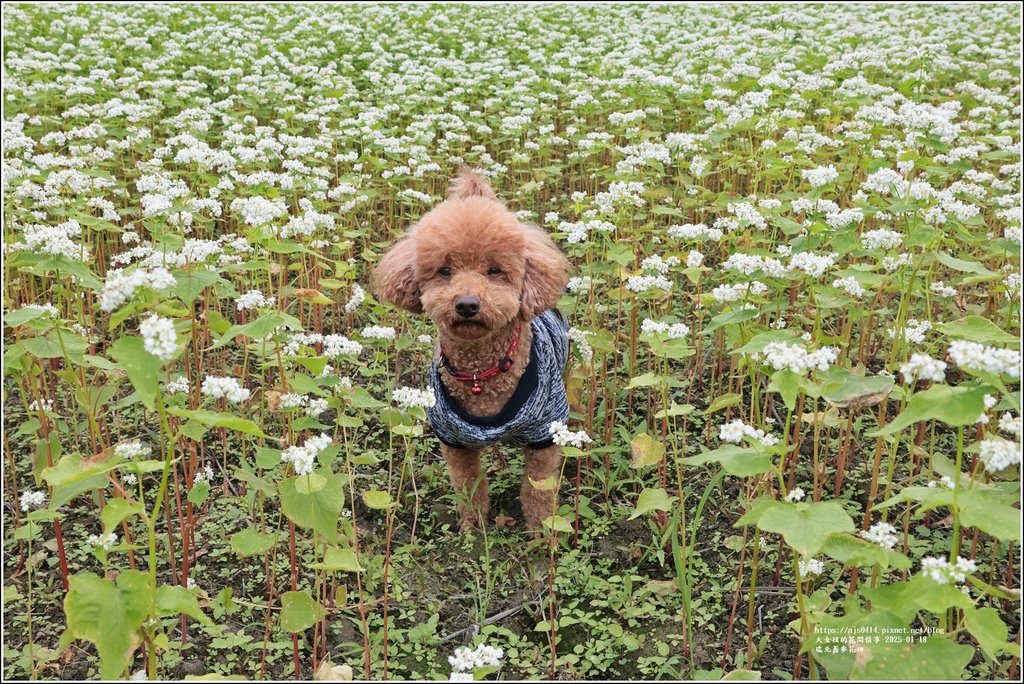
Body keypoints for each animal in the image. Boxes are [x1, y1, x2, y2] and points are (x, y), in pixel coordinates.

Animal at [372, 167, 573, 532]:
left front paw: (541, 531)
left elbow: (539, 489)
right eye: (445, 270)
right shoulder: (454, 439)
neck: (483, 371)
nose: (467, 305)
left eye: (495, 271)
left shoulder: (544, 435)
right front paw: (473, 527)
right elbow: (467, 485)